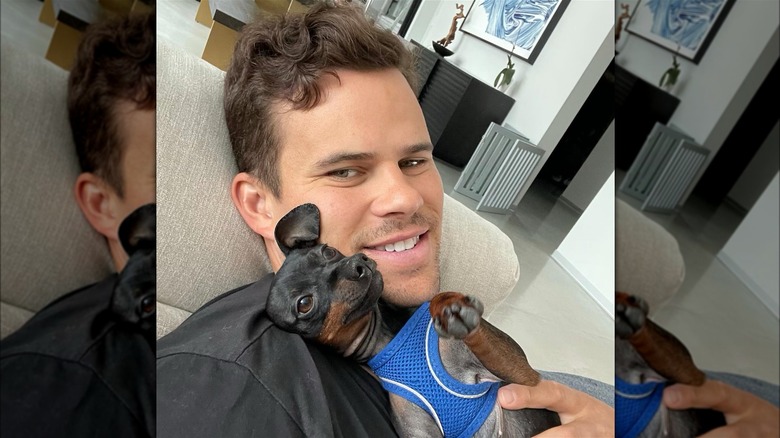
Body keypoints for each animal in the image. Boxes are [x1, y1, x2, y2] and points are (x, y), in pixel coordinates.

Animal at [268, 205, 560, 438]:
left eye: (328, 251)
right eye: (304, 304)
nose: (358, 264)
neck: (392, 339)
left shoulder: (524, 375)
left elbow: (438, 299)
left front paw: (449, 308)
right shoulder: (421, 430)